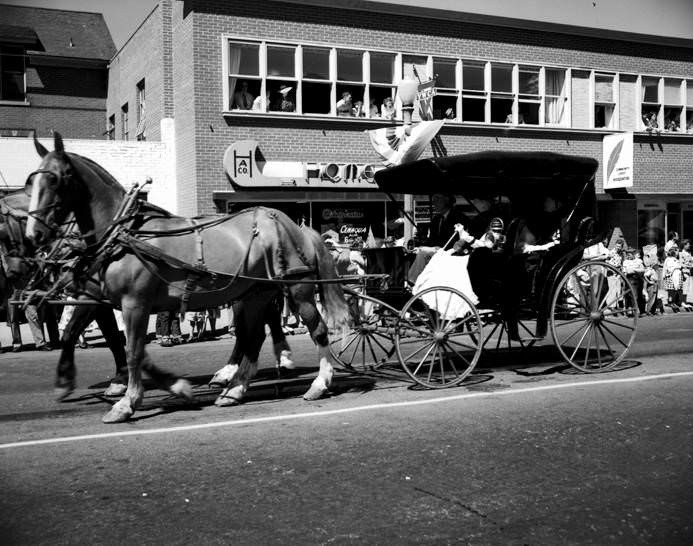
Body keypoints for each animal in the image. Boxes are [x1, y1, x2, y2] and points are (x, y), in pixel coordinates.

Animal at [24, 134, 348, 422]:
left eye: (55, 179)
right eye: (31, 182)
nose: (33, 235)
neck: (123, 234)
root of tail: (295, 225)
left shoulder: (134, 303)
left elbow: (132, 351)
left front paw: (127, 402)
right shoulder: (100, 298)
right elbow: (112, 343)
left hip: (298, 288)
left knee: (317, 330)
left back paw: (319, 383)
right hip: (257, 292)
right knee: (253, 336)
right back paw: (236, 388)